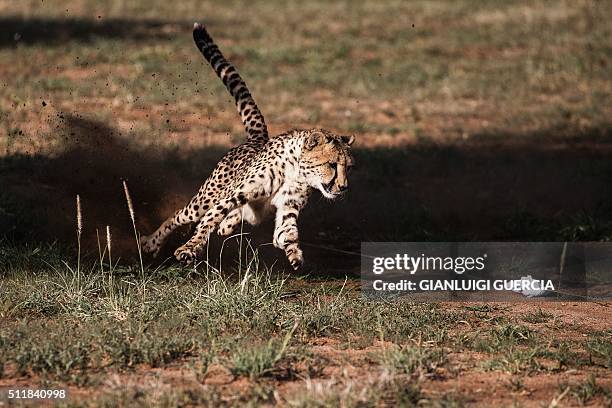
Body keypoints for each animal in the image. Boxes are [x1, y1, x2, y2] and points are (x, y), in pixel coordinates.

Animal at [140, 23, 354, 270]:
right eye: (332, 164)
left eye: (348, 167)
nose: (344, 187)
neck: (296, 170)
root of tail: (257, 139)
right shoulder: (236, 194)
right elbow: (211, 217)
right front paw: (189, 247)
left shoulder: (287, 207)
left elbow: (286, 233)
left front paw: (295, 255)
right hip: (205, 198)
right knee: (181, 215)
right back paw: (151, 243)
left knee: (232, 221)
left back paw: (228, 224)